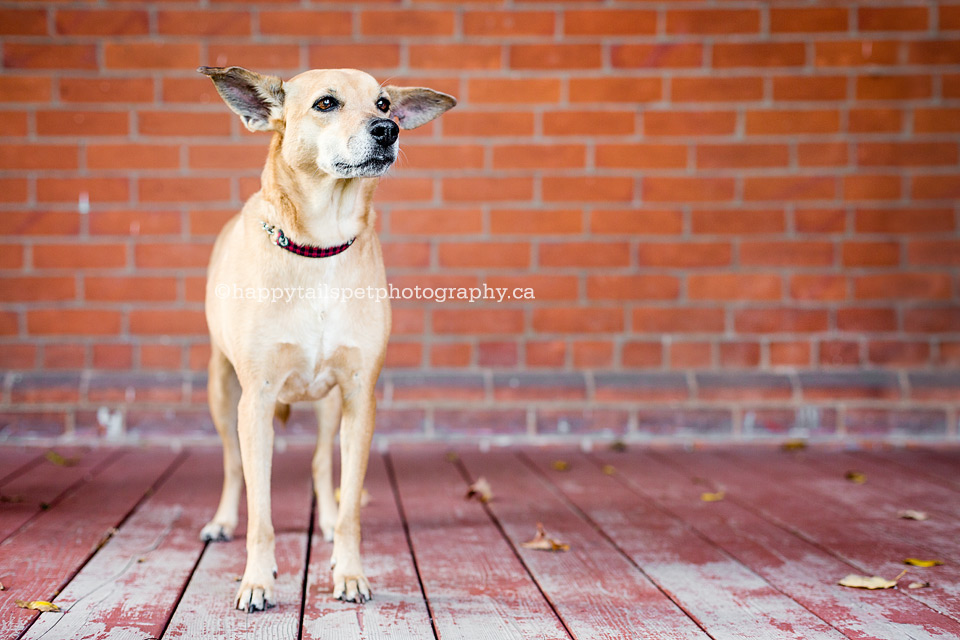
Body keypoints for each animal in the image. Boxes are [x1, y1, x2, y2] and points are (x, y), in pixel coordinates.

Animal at [197, 67, 456, 612]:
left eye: (383, 103)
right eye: (325, 104)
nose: (388, 129)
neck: (320, 247)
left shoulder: (360, 396)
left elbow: (351, 497)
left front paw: (350, 572)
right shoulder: (255, 402)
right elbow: (261, 511)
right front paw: (257, 581)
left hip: (330, 403)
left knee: (320, 463)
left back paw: (331, 526)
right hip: (222, 390)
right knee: (232, 465)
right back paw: (222, 521)